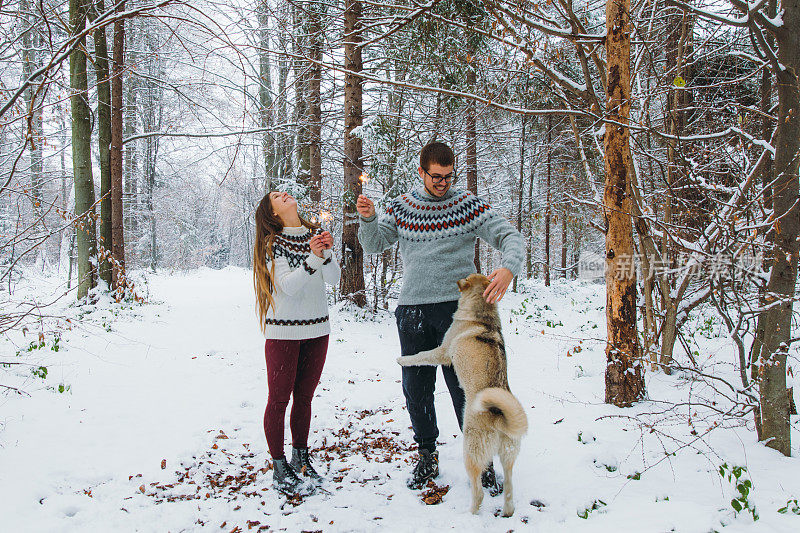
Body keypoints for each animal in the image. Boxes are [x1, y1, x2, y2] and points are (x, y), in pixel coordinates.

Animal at [396, 274, 528, 516]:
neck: (481, 313)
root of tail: (500, 418)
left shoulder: (442, 351)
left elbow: (420, 355)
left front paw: (402, 359)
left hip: (471, 452)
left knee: (479, 492)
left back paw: (470, 515)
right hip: (508, 457)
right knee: (509, 492)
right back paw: (506, 510)